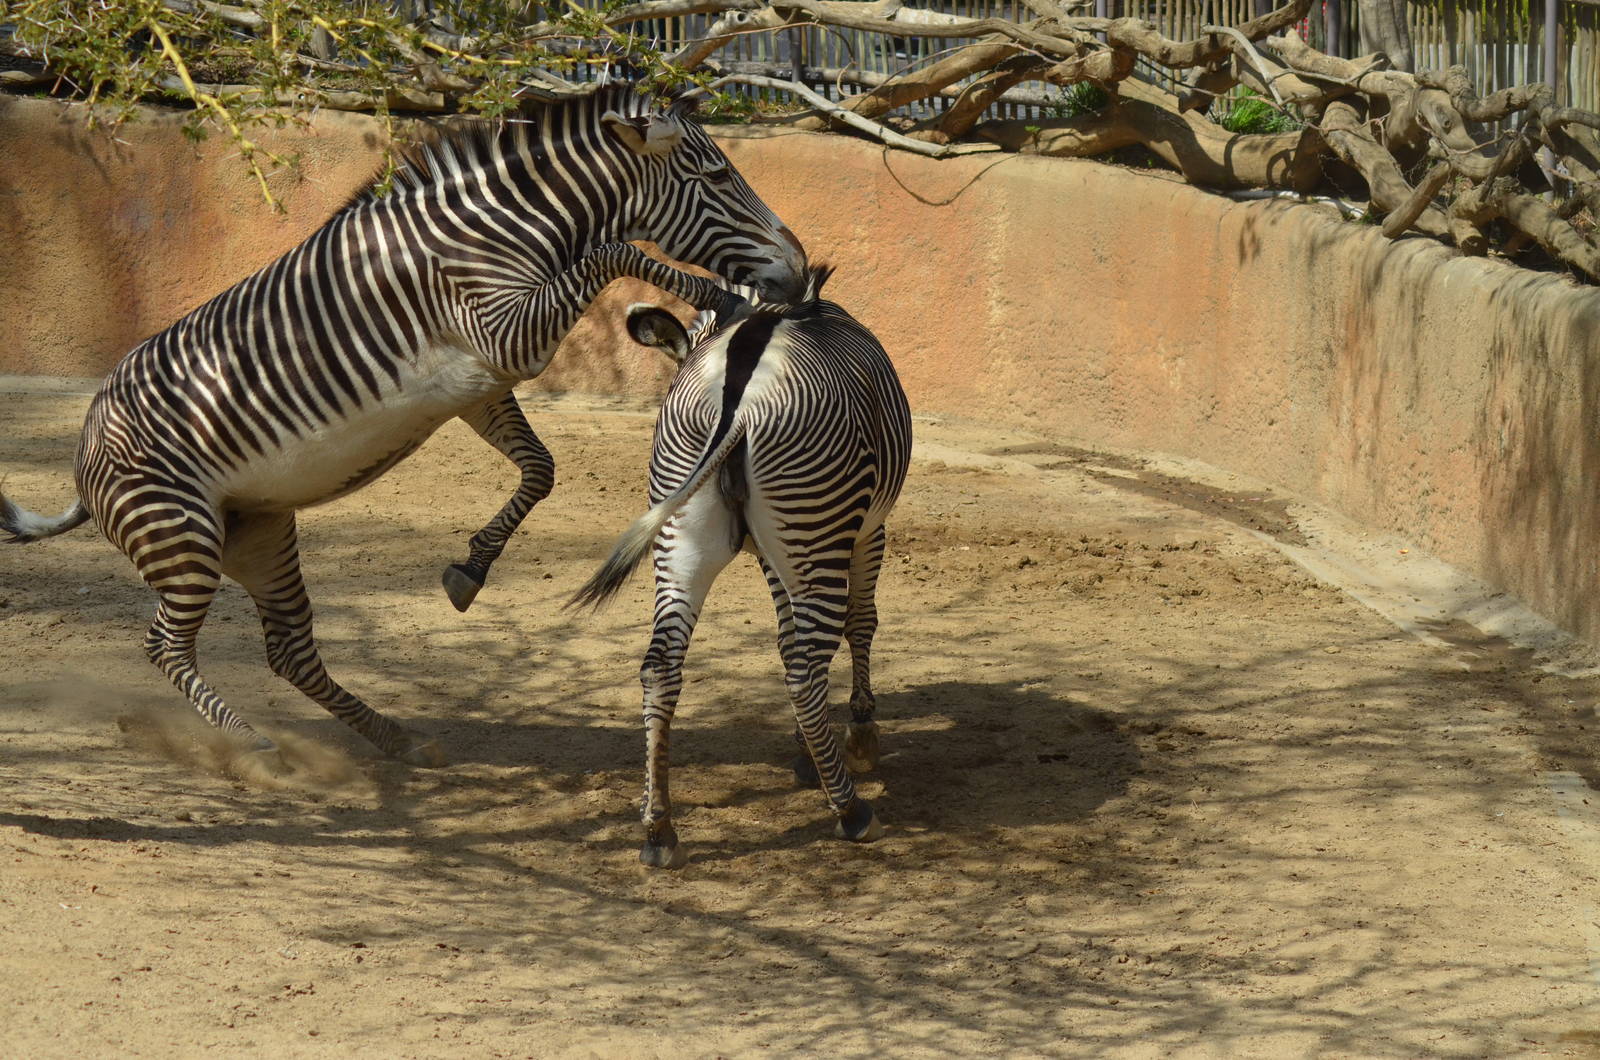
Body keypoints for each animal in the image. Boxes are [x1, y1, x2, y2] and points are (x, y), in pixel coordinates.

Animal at [0, 82, 807, 768]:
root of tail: (82, 462)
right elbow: (614, 250)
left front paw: (470, 571)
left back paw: (395, 737)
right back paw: (254, 746)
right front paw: (710, 292)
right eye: (716, 175)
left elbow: (540, 470)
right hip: (181, 535)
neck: (500, 232)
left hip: (256, 532)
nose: (798, 266)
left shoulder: (479, 381)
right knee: (164, 644)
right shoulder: (509, 336)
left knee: (288, 649)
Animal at [571, 265, 912, 867]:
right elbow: (860, 623)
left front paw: (811, 750)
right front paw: (858, 736)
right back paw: (851, 810)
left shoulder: (774, 556)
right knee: (806, 671)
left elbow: (784, 636)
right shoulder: (868, 529)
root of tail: (737, 398)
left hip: (686, 531)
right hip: (816, 525)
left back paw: (658, 829)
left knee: (661, 666)